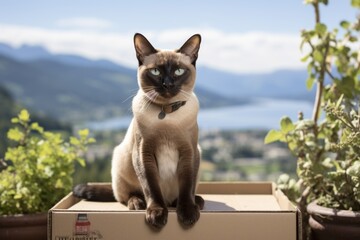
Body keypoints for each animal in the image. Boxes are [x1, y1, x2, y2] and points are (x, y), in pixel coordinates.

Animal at [73, 32, 204, 228]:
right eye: (156, 72)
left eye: (178, 71)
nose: (167, 84)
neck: (166, 115)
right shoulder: (144, 153)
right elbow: (151, 187)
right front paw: (156, 214)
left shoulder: (189, 152)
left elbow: (187, 186)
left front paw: (188, 212)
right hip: (121, 157)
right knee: (124, 195)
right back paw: (137, 203)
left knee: (181, 194)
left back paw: (195, 202)